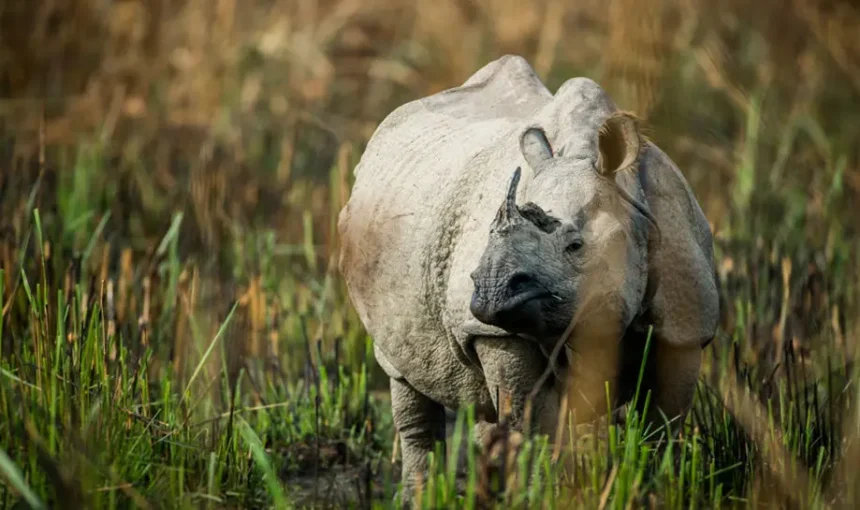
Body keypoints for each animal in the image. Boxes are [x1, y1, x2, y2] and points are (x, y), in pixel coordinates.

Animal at [337, 55, 719, 495]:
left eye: (575, 246)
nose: (490, 292)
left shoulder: (685, 327)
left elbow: (663, 427)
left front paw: (656, 487)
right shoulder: (496, 332)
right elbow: (529, 423)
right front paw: (539, 493)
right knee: (407, 383)